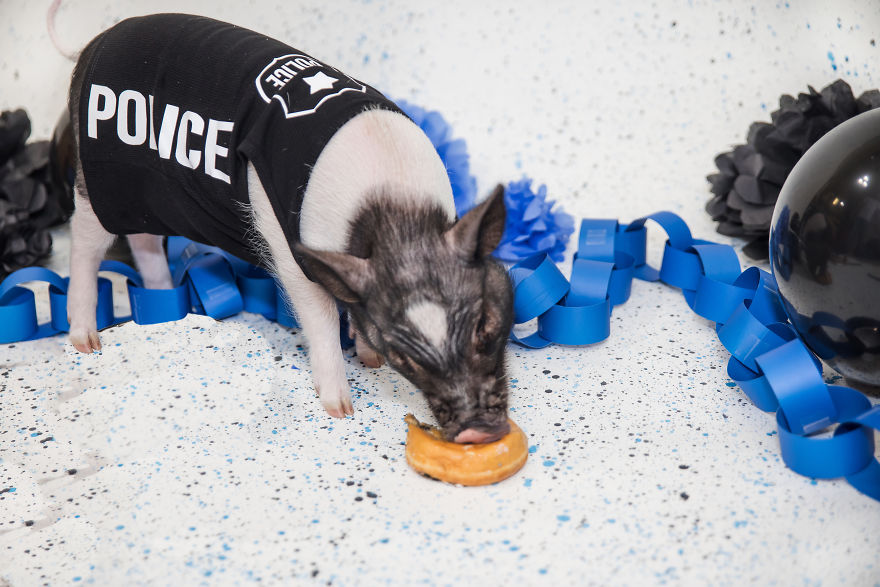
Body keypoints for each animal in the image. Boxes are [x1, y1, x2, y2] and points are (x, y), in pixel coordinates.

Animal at [64, 14, 514, 444]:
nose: (477, 432)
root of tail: (90, 46)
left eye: (484, 324)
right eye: (402, 354)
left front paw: (370, 361)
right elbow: (320, 316)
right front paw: (341, 411)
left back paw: (163, 302)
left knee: (143, 239)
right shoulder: (291, 251)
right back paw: (86, 342)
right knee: (84, 242)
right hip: (96, 180)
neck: (394, 211)